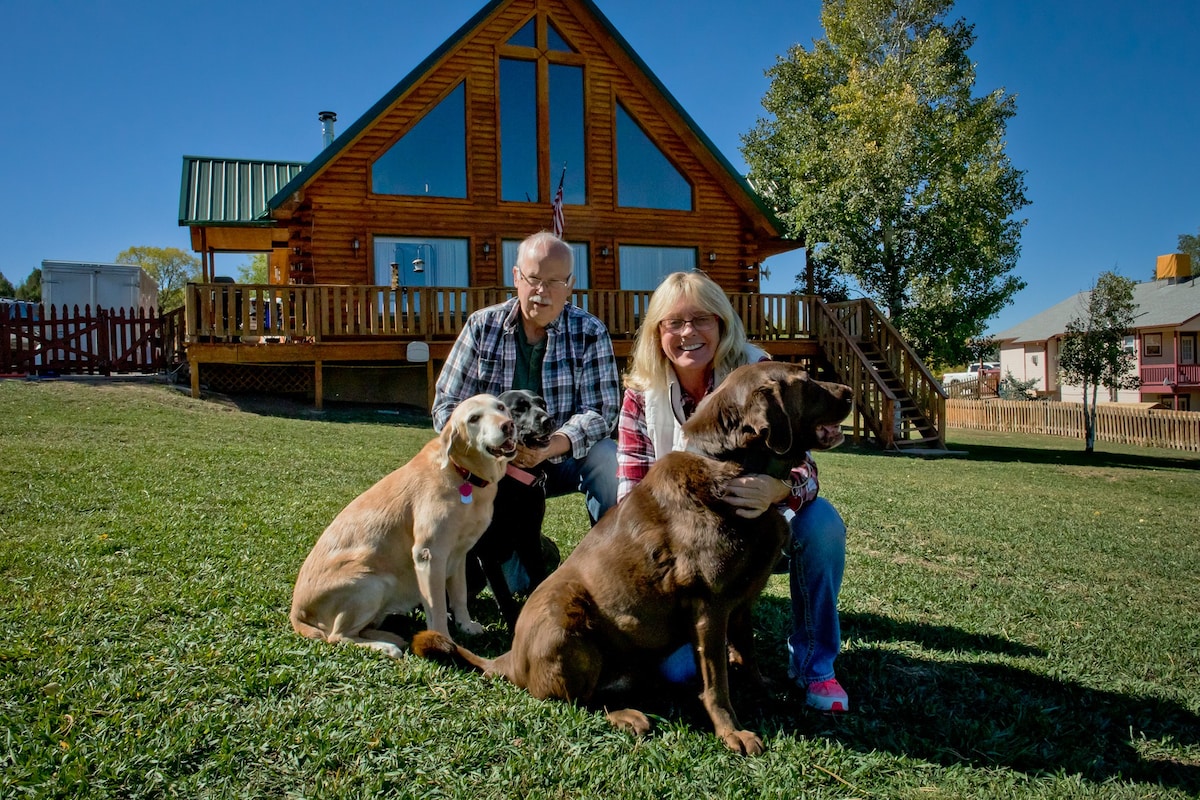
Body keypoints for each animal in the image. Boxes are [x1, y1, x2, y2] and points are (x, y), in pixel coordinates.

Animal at [292, 393, 518, 657]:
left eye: (501, 407)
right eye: (474, 418)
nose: (508, 425)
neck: (462, 473)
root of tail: (296, 613)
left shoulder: (459, 554)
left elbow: (460, 595)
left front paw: (466, 625)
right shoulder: (429, 555)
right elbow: (437, 606)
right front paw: (442, 641)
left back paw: (390, 636)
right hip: (373, 583)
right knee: (337, 636)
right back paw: (386, 646)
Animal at [468, 388, 561, 633]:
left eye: (542, 404)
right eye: (519, 408)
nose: (549, 420)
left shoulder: (530, 539)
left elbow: (539, 577)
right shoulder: (487, 552)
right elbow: (504, 596)